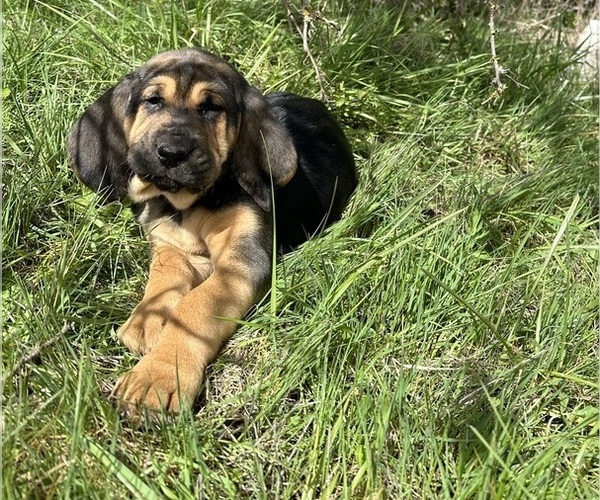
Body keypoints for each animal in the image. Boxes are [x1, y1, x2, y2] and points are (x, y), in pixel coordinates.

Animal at [67, 47, 356, 414]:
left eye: (211, 108)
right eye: (153, 101)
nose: (172, 154)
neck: (189, 204)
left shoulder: (242, 259)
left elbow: (195, 306)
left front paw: (158, 377)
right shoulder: (172, 246)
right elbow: (165, 275)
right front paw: (149, 318)